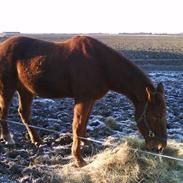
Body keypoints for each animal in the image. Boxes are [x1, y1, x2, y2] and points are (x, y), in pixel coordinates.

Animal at [0, 35, 167, 167]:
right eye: (154, 116)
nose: (161, 147)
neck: (100, 64)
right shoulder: (83, 99)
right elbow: (77, 125)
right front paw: (78, 159)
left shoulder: (90, 100)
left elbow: (84, 123)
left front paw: (87, 143)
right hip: (7, 88)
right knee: (4, 113)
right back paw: (8, 139)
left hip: (26, 90)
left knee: (24, 113)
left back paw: (37, 140)